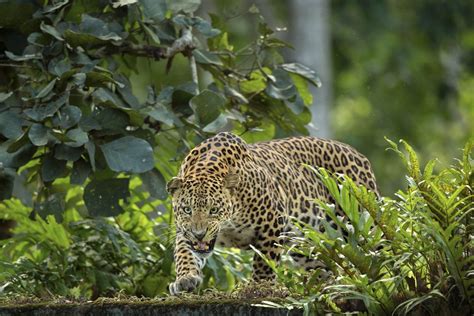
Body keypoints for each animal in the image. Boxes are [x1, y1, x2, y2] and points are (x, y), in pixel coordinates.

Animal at [167, 131, 378, 294]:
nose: (199, 234)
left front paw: (258, 288)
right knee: (324, 267)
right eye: (187, 209)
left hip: (362, 223)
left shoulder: (272, 222)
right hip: (308, 244)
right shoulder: (184, 230)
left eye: (214, 210)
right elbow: (184, 253)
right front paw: (185, 279)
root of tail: (357, 153)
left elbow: (264, 262)